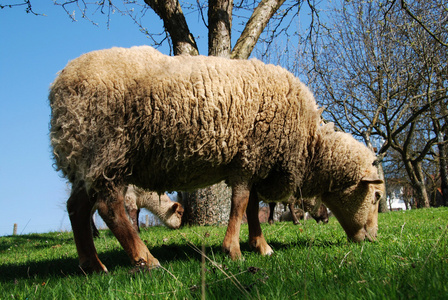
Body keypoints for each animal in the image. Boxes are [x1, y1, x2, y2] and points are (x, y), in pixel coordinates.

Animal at [49, 45, 384, 274]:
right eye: (377, 196)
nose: (372, 239)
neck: (309, 145)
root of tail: (58, 87)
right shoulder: (249, 156)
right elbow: (241, 203)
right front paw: (233, 250)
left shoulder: (253, 162)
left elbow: (251, 207)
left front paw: (260, 246)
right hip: (108, 151)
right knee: (110, 208)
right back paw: (146, 259)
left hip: (87, 160)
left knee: (77, 207)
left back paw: (92, 264)